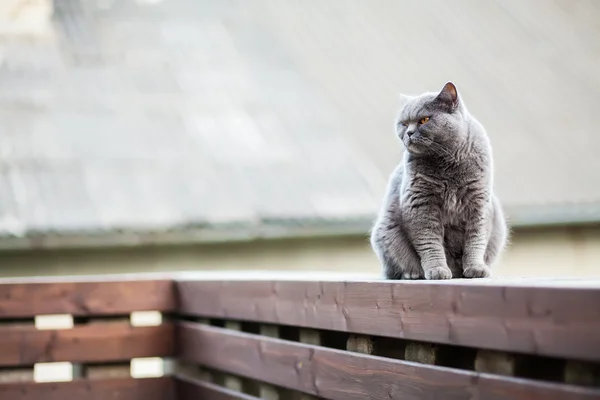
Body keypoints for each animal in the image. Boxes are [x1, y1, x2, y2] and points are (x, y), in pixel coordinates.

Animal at [370, 81, 506, 280]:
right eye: (403, 123)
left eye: (424, 120)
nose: (409, 132)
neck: (448, 162)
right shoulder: (420, 204)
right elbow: (430, 242)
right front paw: (437, 270)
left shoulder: (479, 203)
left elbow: (476, 239)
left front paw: (475, 268)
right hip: (385, 231)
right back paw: (412, 274)